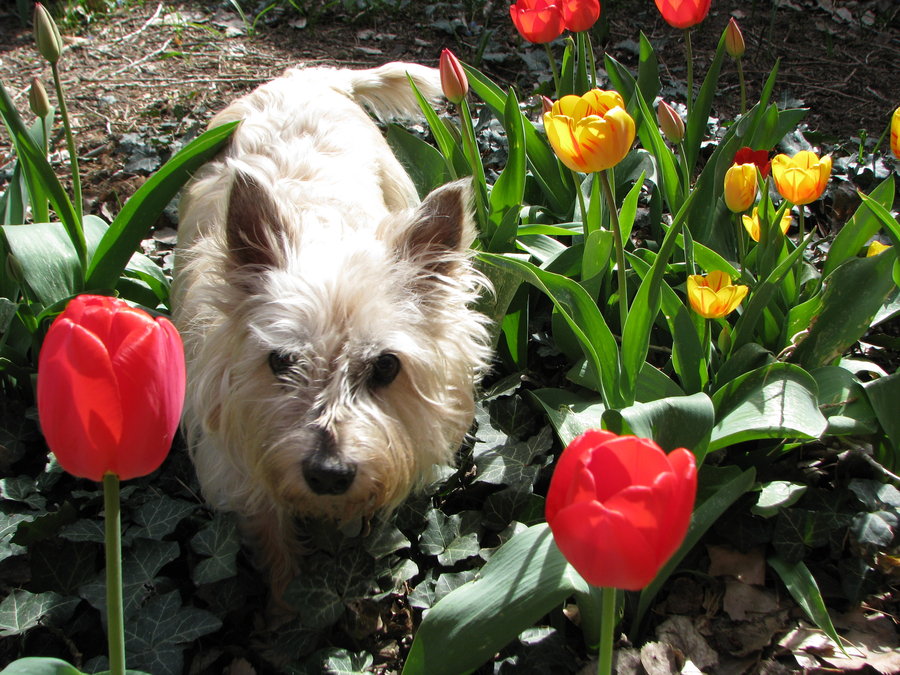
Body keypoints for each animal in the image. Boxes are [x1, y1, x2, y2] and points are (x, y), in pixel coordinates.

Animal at [170, 60, 492, 596]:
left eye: (386, 366)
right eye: (281, 360)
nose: (328, 474)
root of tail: (309, 76)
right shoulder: (243, 477)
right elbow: (277, 554)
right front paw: (286, 608)